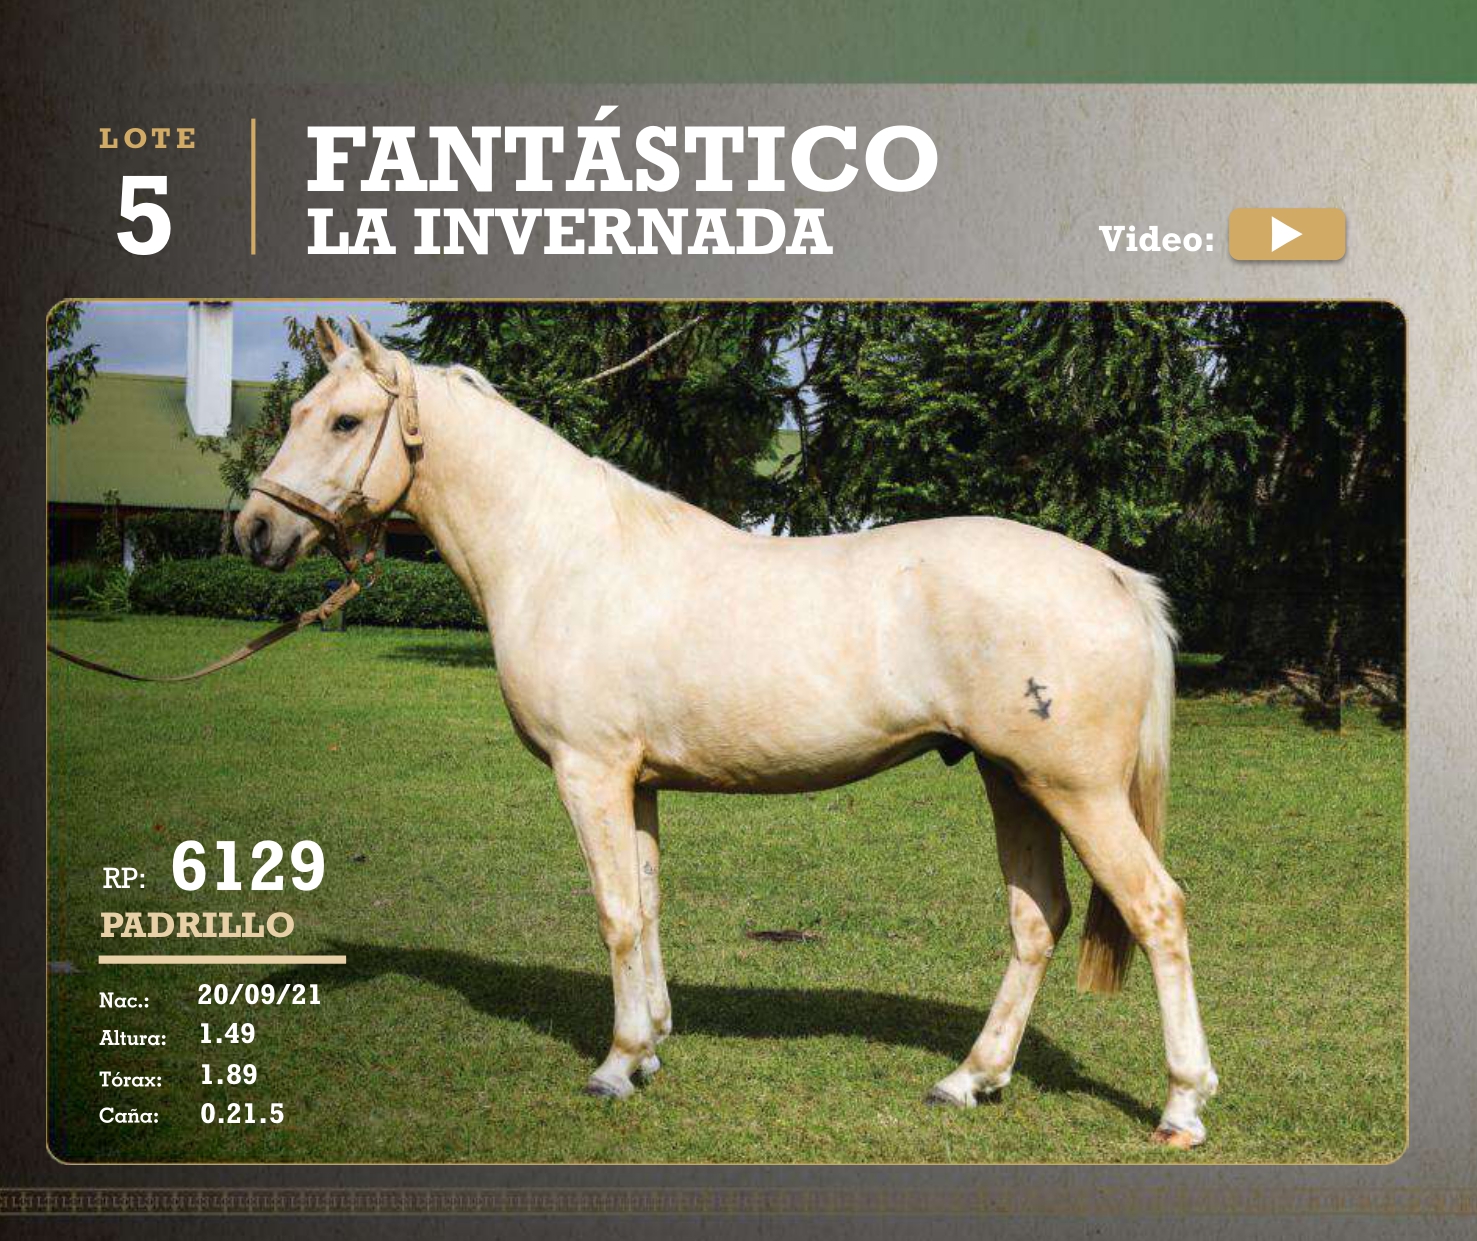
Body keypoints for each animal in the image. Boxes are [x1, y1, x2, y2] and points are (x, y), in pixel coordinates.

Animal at [235, 317, 1219, 1148]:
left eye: (345, 420)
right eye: (297, 413)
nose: (253, 529)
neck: (562, 555)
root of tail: (1113, 574)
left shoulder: (588, 771)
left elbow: (614, 911)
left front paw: (613, 1064)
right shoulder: (636, 781)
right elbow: (646, 904)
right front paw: (649, 1047)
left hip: (1074, 789)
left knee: (1155, 909)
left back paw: (1180, 1104)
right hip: (1010, 779)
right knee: (1037, 919)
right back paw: (969, 1077)